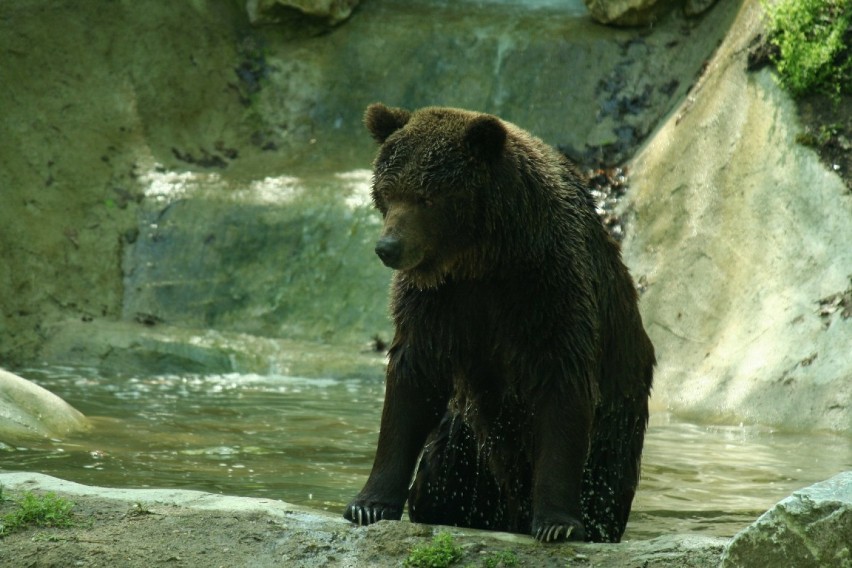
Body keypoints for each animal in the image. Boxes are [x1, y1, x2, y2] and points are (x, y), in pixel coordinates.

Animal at [342, 102, 656, 540]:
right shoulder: (437, 302)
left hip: (618, 416)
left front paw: (558, 524)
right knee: (444, 474)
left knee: (606, 477)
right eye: (387, 192)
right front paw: (369, 504)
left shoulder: (547, 289)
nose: (388, 247)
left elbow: (562, 388)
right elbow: (413, 382)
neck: (483, 258)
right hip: (468, 436)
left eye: (426, 197)